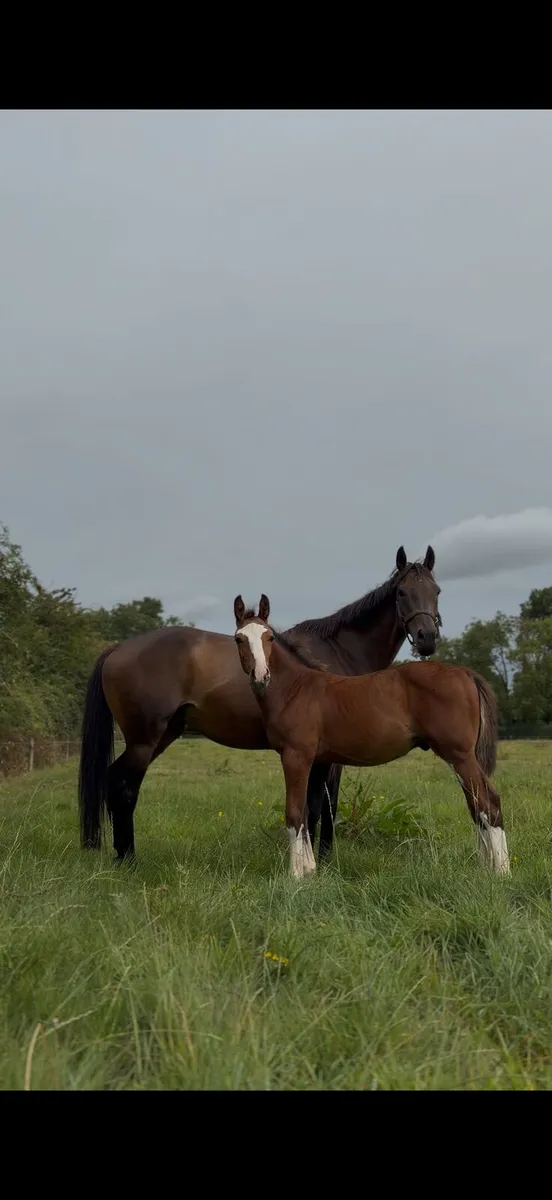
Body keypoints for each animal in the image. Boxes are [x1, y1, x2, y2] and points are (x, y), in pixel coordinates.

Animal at [78, 546, 442, 863]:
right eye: (402, 593)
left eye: (436, 590)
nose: (427, 638)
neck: (338, 652)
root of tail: (117, 648)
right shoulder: (329, 757)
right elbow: (323, 808)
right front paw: (322, 861)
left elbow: (315, 807)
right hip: (144, 739)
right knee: (123, 788)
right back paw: (128, 860)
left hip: (162, 735)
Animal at [233, 593, 510, 879]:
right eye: (239, 639)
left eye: (269, 638)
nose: (260, 676)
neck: (295, 689)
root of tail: (465, 673)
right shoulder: (317, 761)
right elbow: (310, 813)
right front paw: (310, 869)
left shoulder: (296, 756)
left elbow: (295, 812)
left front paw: (296, 874)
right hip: (461, 758)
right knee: (477, 805)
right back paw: (487, 867)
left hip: (459, 755)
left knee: (488, 803)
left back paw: (501, 872)